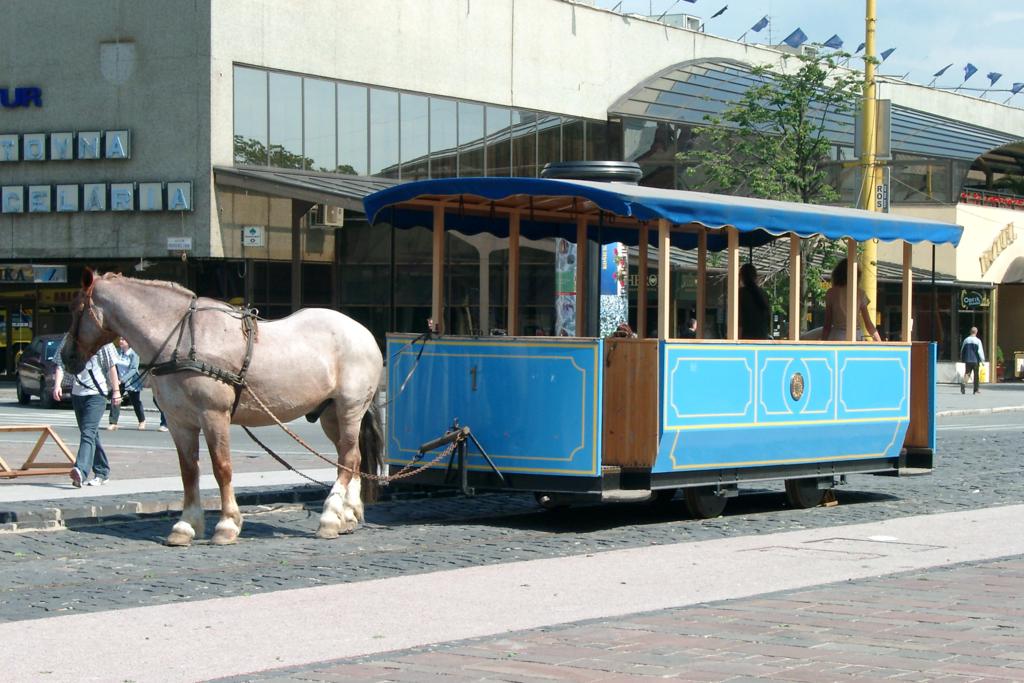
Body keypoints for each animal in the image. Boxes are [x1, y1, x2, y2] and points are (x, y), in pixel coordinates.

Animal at [61, 270, 384, 546]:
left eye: (76, 309)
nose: (65, 357)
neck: (180, 339)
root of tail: (363, 332)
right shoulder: (179, 421)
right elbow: (189, 471)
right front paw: (186, 525)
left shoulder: (213, 415)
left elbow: (221, 468)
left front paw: (227, 524)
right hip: (330, 414)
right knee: (350, 459)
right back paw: (347, 514)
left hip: (349, 408)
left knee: (348, 457)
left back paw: (330, 516)